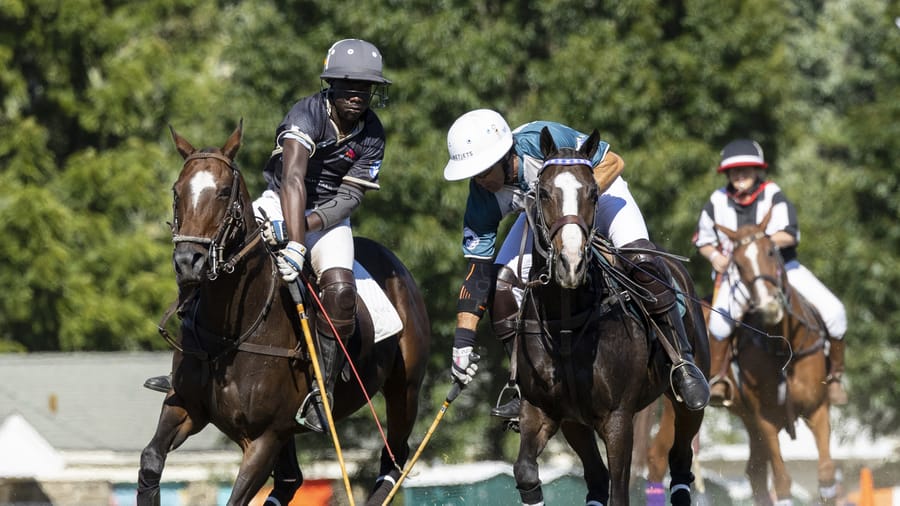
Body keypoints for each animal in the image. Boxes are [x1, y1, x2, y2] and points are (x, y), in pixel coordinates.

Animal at [138, 121, 432, 506]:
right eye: (177, 191)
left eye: (223, 193)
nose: (189, 262)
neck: (232, 332)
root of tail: (399, 268)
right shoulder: (185, 407)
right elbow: (150, 459)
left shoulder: (264, 437)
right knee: (292, 480)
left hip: (405, 388)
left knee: (395, 457)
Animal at [510, 127, 708, 506]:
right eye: (544, 193)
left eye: (593, 192)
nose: (571, 264)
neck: (566, 321)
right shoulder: (541, 409)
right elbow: (525, 470)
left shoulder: (619, 419)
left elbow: (621, 492)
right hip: (576, 422)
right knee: (597, 475)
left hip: (688, 398)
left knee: (680, 454)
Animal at [712, 208, 836, 504]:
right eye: (738, 265)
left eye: (770, 252)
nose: (769, 307)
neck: (783, 347)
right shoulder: (765, 419)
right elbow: (782, 481)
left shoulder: (817, 408)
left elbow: (826, 473)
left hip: (751, 421)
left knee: (754, 471)